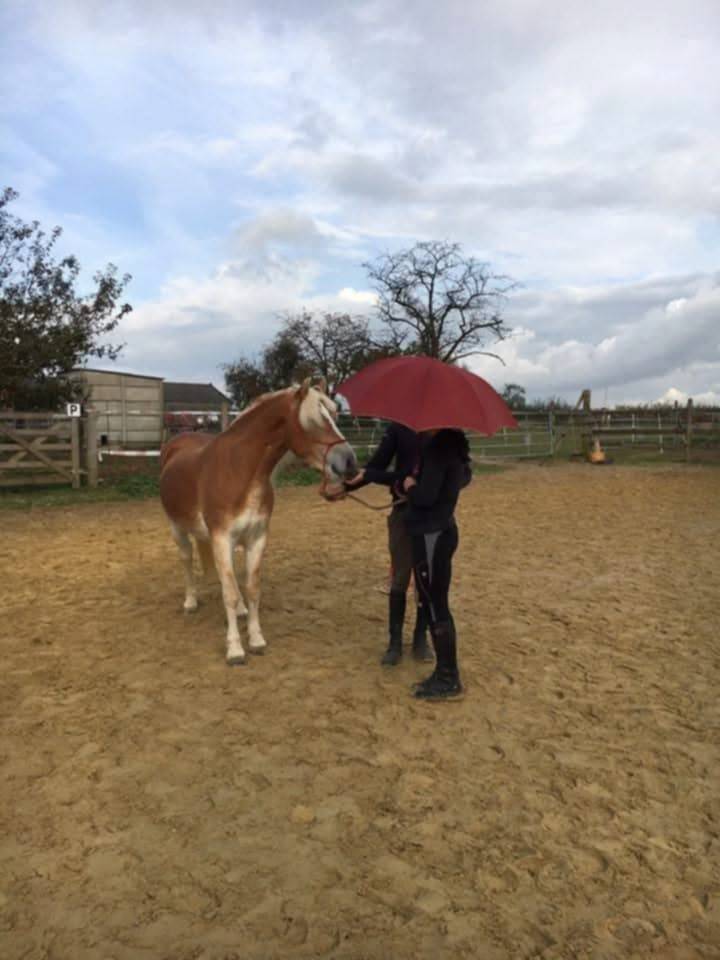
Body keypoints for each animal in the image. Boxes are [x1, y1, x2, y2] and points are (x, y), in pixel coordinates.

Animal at [159, 379, 357, 665]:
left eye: (334, 414)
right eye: (313, 419)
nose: (349, 462)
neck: (240, 470)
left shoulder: (257, 538)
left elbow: (251, 589)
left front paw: (256, 639)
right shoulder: (221, 538)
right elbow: (229, 593)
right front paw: (234, 649)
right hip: (177, 528)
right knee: (186, 560)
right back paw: (191, 602)